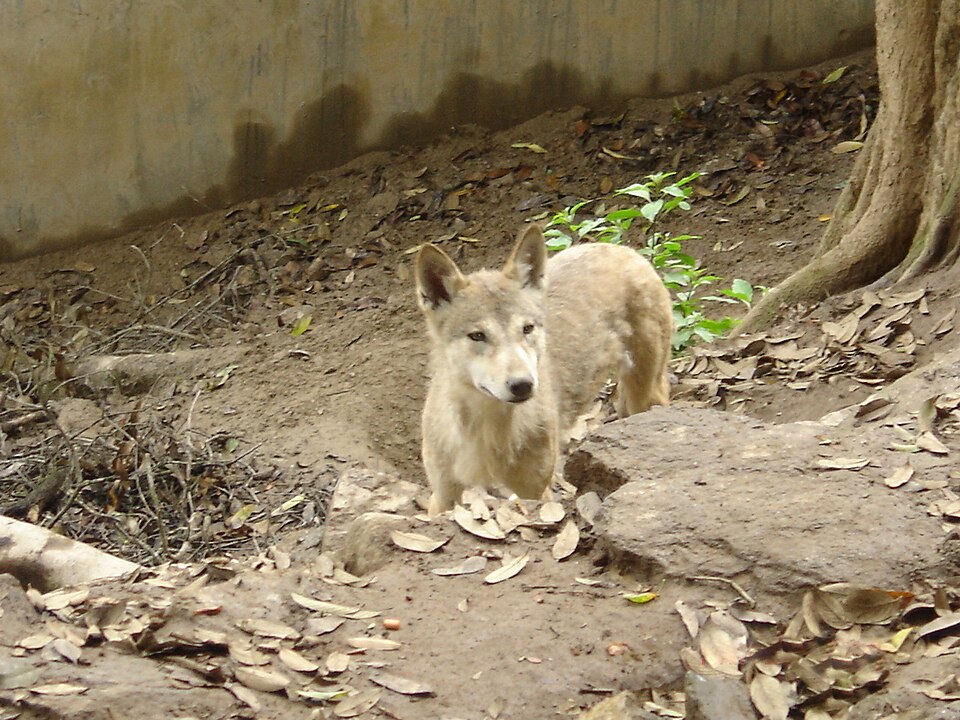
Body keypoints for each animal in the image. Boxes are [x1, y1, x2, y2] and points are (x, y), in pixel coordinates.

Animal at [415, 224, 672, 515]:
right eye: (478, 335)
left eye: (527, 328)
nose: (522, 385)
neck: (485, 434)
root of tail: (620, 247)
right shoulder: (443, 496)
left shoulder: (537, 492)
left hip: (645, 392)